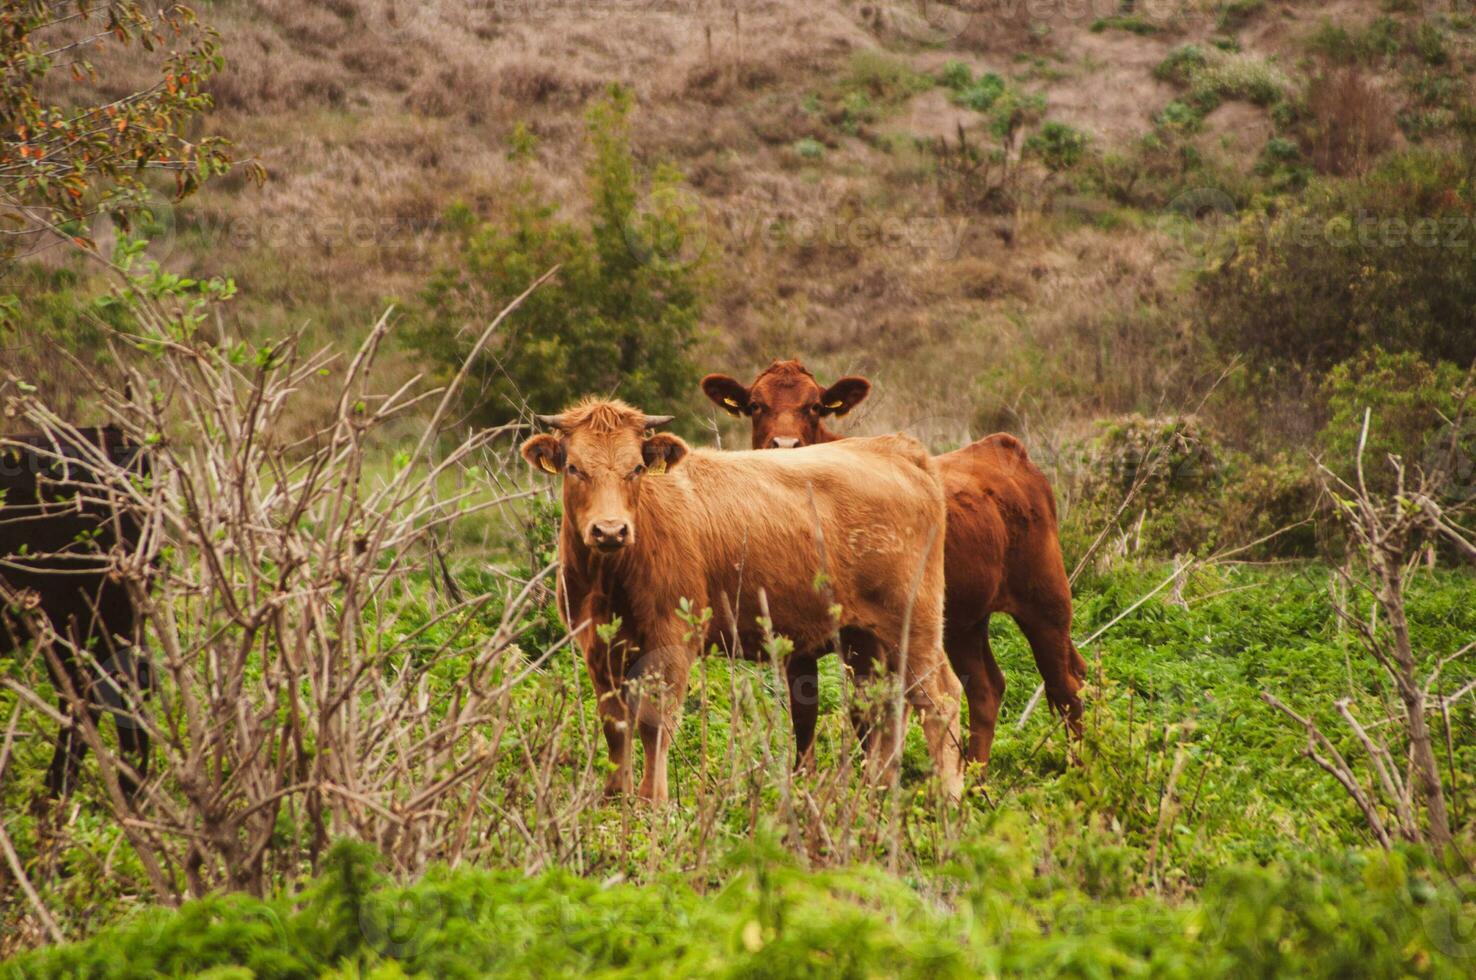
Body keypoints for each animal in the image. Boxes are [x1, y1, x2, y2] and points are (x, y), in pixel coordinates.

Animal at [525, 398, 962, 802]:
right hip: (866, 640)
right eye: (574, 468)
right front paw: (615, 799)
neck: (612, 577)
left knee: (940, 699)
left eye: (635, 469)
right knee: (885, 710)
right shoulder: (597, 647)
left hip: (914, 625)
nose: (611, 530)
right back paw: (878, 794)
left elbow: (655, 723)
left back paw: (948, 797)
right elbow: (615, 726)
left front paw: (654, 801)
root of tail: (896, 449)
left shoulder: (672, 640)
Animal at [702, 360, 1086, 767]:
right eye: (755, 405)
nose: (786, 445)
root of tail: (1002, 446)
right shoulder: (793, 638)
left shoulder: (863, 642)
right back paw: (976, 774)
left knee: (1065, 686)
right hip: (963, 622)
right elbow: (805, 718)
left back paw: (1076, 769)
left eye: (815, 406)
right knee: (985, 687)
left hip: (1045, 601)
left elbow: (864, 718)